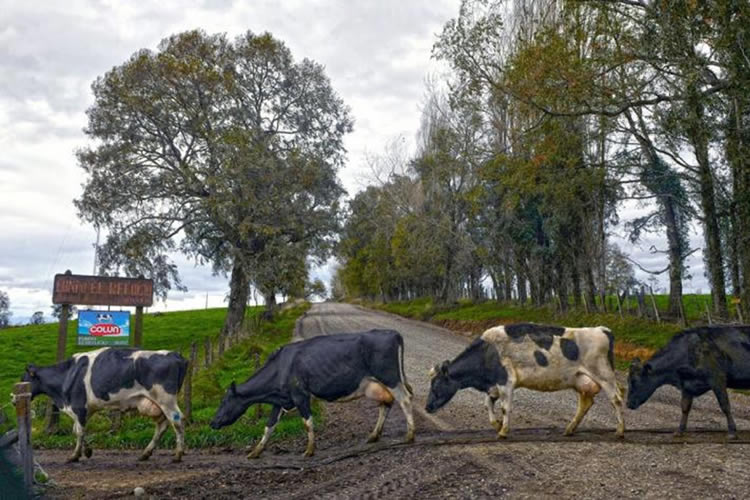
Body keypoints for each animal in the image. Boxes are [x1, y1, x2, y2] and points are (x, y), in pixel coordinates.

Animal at [23, 348, 189, 460]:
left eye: (24, 379)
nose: (17, 396)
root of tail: (175, 354)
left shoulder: (78, 407)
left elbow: (79, 431)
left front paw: (74, 456)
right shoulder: (85, 410)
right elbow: (77, 430)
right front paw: (87, 451)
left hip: (165, 399)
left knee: (177, 420)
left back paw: (178, 454)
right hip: (155, 404)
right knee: (162, 425)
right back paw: (145, 453)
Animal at [212, 330, 418, 458]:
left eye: (224, 401)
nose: (212, 422)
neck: (280, 368)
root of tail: (392, 333)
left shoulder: (300, 395)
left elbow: (308, 423)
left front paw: (309, 450)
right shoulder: (280, 401)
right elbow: (268, 426)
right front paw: (255, 452)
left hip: (390, 378)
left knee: (405, 400)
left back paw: (409, 436)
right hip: (376, 385)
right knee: (386, 404)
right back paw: (374, 436)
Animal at [426, 324, 624, 438]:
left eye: (436, 385)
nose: (427, 407)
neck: (487, 354)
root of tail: (602, 329)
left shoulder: (506, 381)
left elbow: (505, 407)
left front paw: (503, 432)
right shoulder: (494, 386)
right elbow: (487, 404)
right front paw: (497, 425)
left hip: (604, 374)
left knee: (616, 399)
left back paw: (620, 431)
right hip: (580, 380)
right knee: (585, 403)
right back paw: (569, 429)